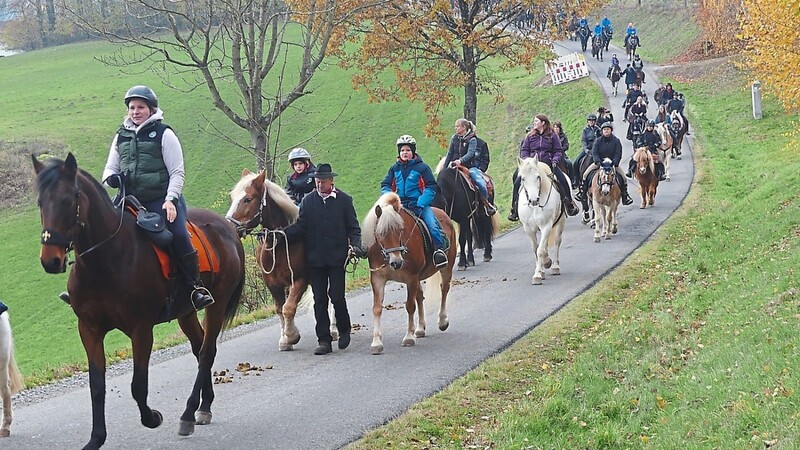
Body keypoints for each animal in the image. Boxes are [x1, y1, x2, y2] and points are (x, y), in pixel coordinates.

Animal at [33, 155, 247, 450]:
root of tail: (227, 228)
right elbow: (97, 386)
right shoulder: (89, 329)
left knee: (206, 352)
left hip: (216, 304)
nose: (50, 260)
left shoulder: (141, 329)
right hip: (186, 312)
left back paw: (189, 413)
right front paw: (96, 439)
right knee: (198, 347)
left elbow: (138, 385)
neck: (106, 259)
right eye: (41, 202)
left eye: (68, 199)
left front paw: (152, 418)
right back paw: (204, 407)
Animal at [225, 170, 338, 352]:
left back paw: (333, 330)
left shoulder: (300, 280)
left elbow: (289, 308)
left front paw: (291, 336)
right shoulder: (273, 284)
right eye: (233, 197)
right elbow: (280, 309)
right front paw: (285, 338)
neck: (280, 242)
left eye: (247, 199)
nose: (228, 226)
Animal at [362, 193, 456, 356]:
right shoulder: (378, 279)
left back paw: (442, 321)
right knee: (420, 296)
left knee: (444, 289)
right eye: (380, 233)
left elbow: (410, 306)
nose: (396, 263)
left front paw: (409, 337)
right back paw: (420, 328)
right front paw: (376, 343)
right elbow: (377, 308)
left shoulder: (411, 277)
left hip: (446, 267)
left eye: (400, 230)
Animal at [516, 155, 564, 284]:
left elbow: (540, 250)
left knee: (557, 242)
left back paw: (555, 266)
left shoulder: (546, 226)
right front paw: (540, 271)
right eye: (523, 179)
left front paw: (538, 274)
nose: (533, 200)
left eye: (538, 177)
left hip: (561, 222)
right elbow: (536, 249)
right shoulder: (528, 228)